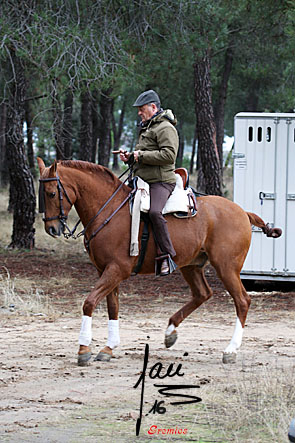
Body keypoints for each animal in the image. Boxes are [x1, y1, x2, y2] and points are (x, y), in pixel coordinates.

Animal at [37, 158, 282, 366]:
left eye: (51, 193)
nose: (52, 229)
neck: (109, 211)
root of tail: (242, 212)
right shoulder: (105, 271)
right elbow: (112, 306)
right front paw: (108, 348)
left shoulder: (117, 270)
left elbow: (89, 302)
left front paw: (83, 349)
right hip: (191, 266)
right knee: (203, 294)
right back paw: (170, 332)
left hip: (226, 267)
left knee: (242, 301)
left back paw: (230, 349)